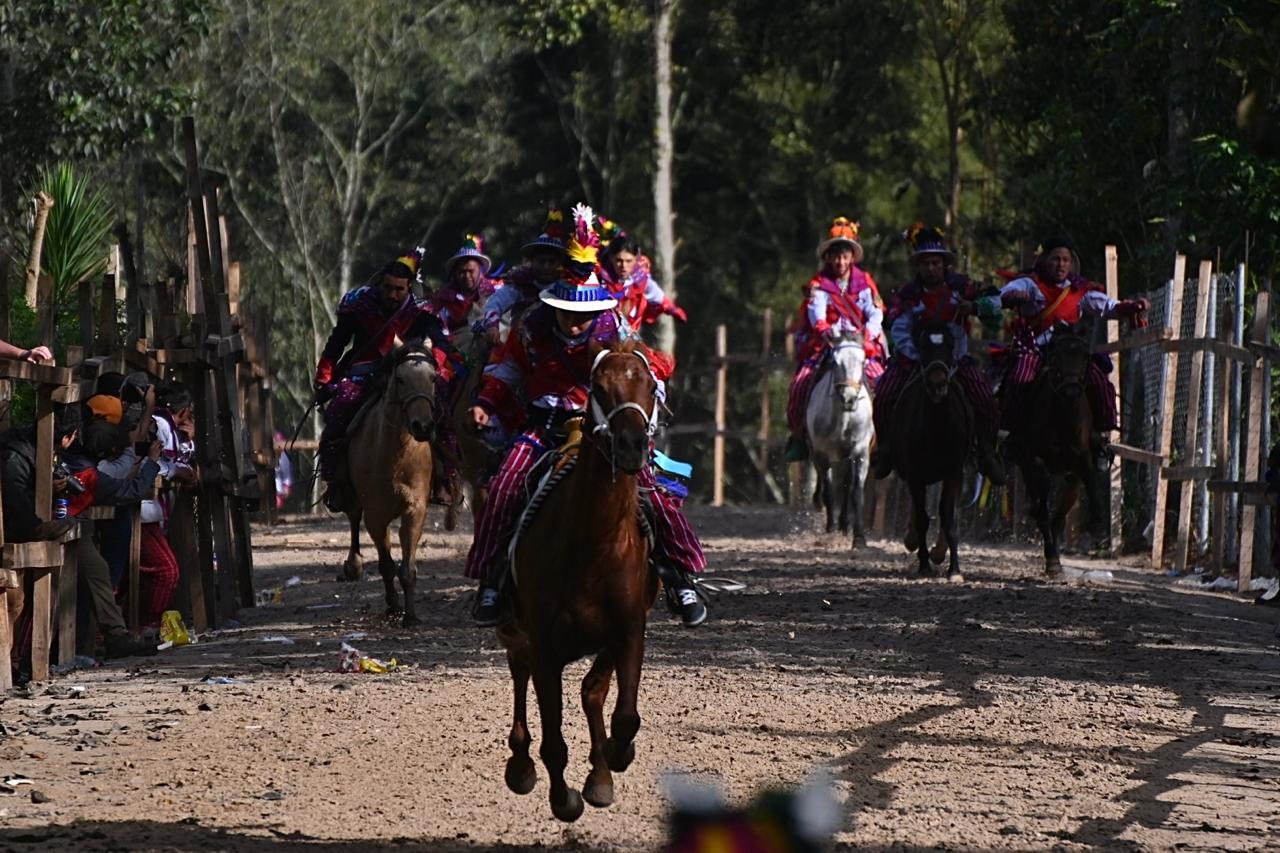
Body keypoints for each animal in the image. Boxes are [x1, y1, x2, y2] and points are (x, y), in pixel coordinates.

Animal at [343, 338, 437, 625]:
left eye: (433, 378)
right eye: (401, 379)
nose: (423, 427)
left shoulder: (414, 509)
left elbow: (407, 568)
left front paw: (411, 616)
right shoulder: (376, 515)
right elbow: (386, 565)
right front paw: (394, 606)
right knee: (353, 517)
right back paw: (353, 564)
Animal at [496, 343, 665, 819]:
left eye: (650, 388)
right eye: (600, 388)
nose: (631, 446)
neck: (593, 546)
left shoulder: (629, 630)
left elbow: (622, 715)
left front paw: (614, 759)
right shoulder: (544, 645)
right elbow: (553, 740)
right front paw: (564, 798)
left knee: (592, 693)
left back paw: (601, 774)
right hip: (517, 631)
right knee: (520, 670)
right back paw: (521, 765)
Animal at [803, 333, 875, 545]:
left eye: (863, 361)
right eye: (835, 362)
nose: (849, 398)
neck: (842, 419)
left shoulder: (860, 452)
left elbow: (856, 491)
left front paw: (859, 538)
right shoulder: (821, 452)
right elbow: (828, 491)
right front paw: (831, 528)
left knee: (846, 485)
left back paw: (845, 525)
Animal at [890, 322, 967, 581]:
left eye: (950, 347)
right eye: (923, 349)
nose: (937, 384)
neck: (937, 430)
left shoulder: (954, 472)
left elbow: (950, 518)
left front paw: (954, 570)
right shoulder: (915, 474)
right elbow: (923, 518)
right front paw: (924, 564)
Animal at [1013, 322, 1095, 573]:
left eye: (1085, 356)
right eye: (1056, 355)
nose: (1071, 391)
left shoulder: (1078, 467)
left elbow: (1060, 516)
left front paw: (1055, 558)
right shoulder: (1034, 460)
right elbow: (1043, 507)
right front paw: (1051, 559)